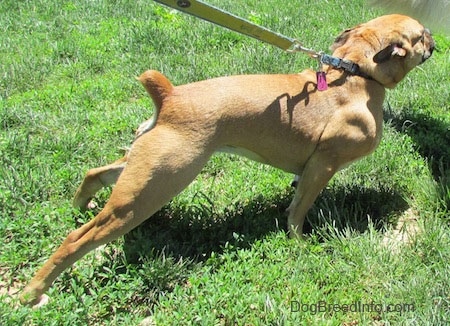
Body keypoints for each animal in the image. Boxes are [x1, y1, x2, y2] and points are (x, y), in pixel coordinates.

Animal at [19, 14, 434, 306]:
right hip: (152, 190)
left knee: (96, 173)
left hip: (145, 168)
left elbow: (295, 196)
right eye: (421, 34)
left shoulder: (311, 170)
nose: (433, 40)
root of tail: (168, 97)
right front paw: (299, 242)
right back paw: (34, 290)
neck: (355, 72)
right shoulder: (322, 166)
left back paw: (80, 204)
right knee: (78, 239)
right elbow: (299, 210)